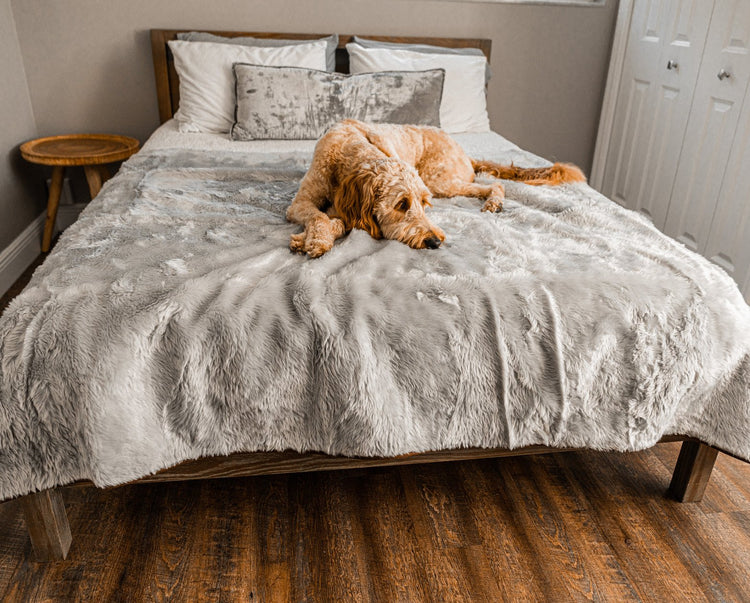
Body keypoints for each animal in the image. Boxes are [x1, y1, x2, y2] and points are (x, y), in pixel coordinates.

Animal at [288, 119, 588, 258]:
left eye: (424, 203)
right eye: (401, 204)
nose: (435, 242)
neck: (347, 151)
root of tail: (464, 151)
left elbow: (334, 220)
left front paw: (314, 239)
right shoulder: (299, 204)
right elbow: (320, 216)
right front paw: (314, 239)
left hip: (439, 180)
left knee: (494, 184)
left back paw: (494, 202)